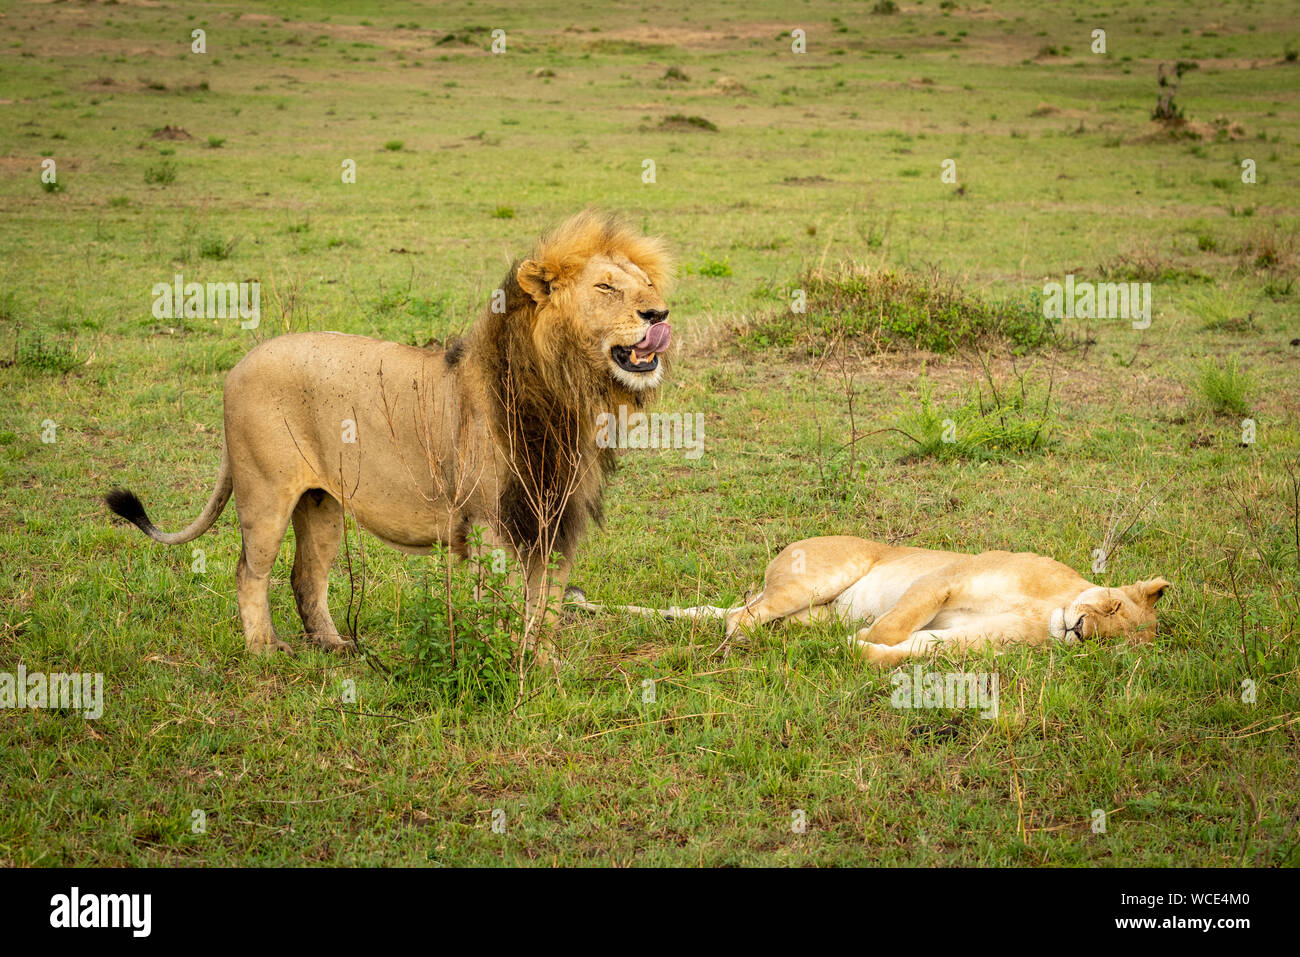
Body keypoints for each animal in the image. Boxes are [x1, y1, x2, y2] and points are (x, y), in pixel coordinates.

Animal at [106, 210, 676, 657]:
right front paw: (504, 662)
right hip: (265, 494)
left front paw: (540, 665)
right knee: (250, 571)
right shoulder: (494, 522)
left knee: (306, 575)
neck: (567, 392)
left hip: (321, 504)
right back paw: (265, 650)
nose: (659, 313)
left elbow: (547, 608)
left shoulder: (557, 521)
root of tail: (239, 365)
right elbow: (504, 607)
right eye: (605, 287)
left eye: (646, 284)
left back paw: (334, 645)